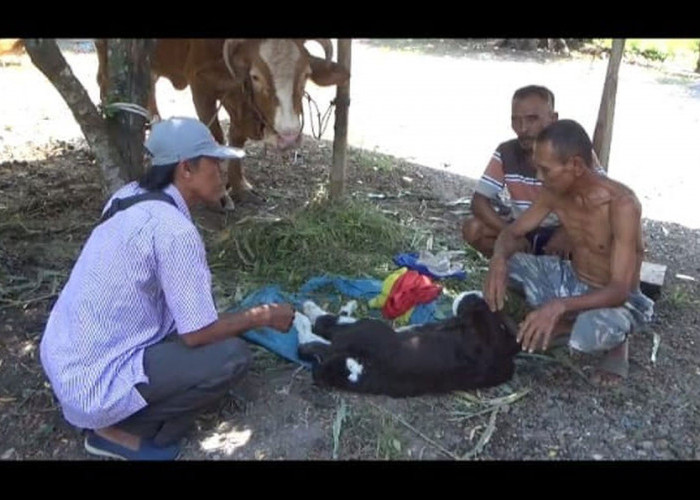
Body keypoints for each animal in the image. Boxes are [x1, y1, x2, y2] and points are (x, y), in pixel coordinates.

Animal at [97, 38, 348, 207]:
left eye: (305, 75)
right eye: (255, 76)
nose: (288, 136)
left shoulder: (234, 93)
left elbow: (236, 138)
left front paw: (239, 185)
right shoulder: (201, 84)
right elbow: (214, 136)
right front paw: (219, 194)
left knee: (148, 80)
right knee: (105, 79)